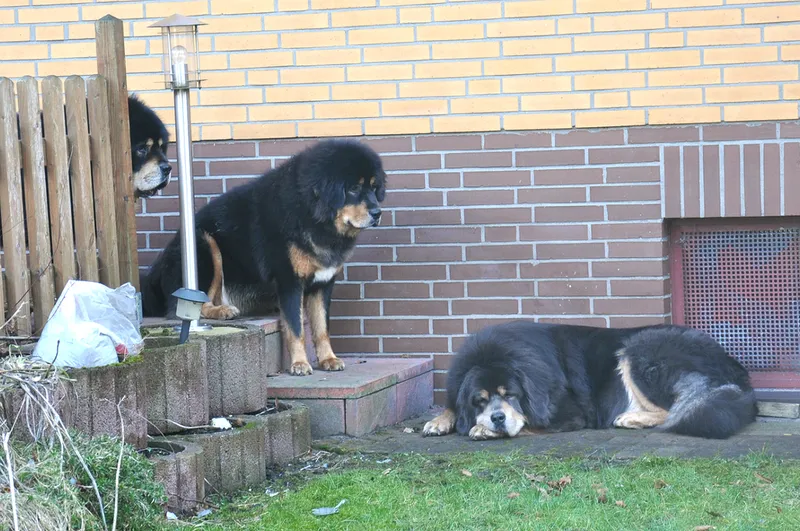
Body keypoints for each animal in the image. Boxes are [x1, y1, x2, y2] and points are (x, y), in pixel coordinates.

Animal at [141, 139, 387, 376]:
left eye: (374, 188)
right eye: (353, 188)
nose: (378, 213)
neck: (313, 215)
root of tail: (156, 271)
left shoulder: (323, 284)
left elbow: (321, 328)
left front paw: (328, 359)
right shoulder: (289, 281)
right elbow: (296, 327)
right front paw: (299, 363)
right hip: (206, 244)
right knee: (191, 305)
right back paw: (223, 310)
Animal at [423, 321, 756, 441]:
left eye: (512, 395)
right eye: (479, 400)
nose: (497, 417)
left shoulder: (570, 413)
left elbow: (531, 421)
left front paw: (482, 428)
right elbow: (452, 404)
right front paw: (440, 420)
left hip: (637, 350)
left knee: (676, 409)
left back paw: (631, 418)